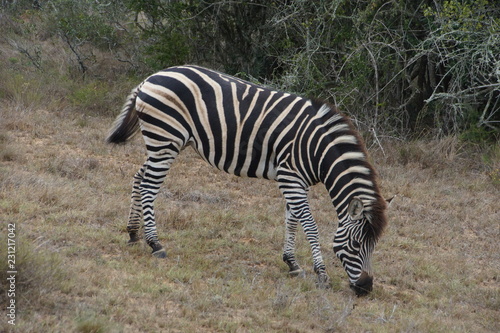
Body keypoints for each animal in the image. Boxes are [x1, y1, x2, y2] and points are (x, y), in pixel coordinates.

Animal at [106, 65, 386, 296]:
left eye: (374, 245)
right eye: (355, 244)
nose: (366, 288)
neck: (317, 150)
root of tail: (150, 78)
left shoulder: (295, 180)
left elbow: (292, 219)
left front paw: (292, 263)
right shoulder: (290, 177)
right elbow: (309, 224)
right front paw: (321, 273)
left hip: (167, 143)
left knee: (139, 178)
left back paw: (133, 233)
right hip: (165, 140)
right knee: (149, 187)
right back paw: (155, 243)